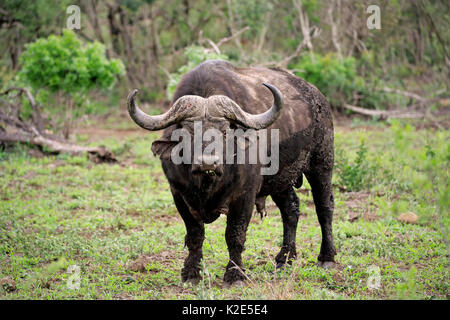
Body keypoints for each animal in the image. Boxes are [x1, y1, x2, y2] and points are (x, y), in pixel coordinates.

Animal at [128, 58, 336, 284]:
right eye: (187, 131)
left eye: (225, 130)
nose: (207, 163)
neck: (207, 184)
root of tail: (319, 99)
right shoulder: (179, 195)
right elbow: (194, 234)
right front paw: (191, 273)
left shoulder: (244, 195)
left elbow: (234, 234)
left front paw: (235, 274)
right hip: (281, 179)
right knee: (291, 209)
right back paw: (284, 259)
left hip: (322, 163)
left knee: (324, 207)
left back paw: (326, 257)